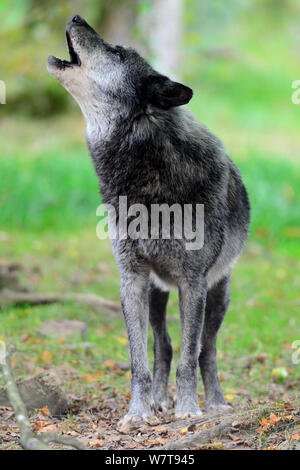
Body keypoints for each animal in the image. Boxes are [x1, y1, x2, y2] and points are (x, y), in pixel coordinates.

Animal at [47, 15, 250, 426]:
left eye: (116, 52)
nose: (76, 17)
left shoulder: (193, 283)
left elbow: (190, 358)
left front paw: (188, 409)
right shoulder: (132, 280)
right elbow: (139, 361)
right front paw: (138, 412)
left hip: (218, 295)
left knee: (206, 350)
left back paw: (215, 402)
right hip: (158, 294)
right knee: (164, 345)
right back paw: (158, 400)